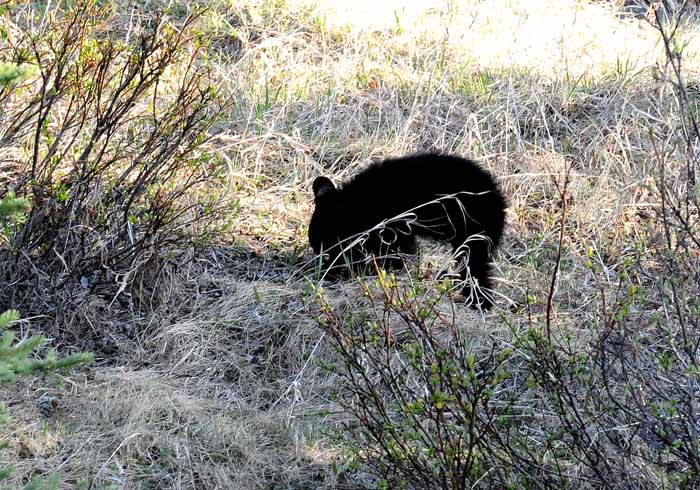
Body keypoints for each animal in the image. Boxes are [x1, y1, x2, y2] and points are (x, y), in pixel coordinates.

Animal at [308, 151, 506, 308]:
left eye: (328, 244)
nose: (322, 261)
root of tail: (498, 199)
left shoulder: (392, 222)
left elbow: (395, 250)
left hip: (472, 227)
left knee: (473, 261)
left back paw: (480, 300)